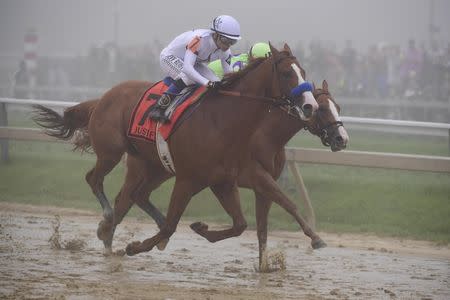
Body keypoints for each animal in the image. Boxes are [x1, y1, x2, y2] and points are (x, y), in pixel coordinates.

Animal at [35, 43, 324, 256]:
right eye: (287, 73)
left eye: (304, 71)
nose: (311, 106)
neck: (223, 121)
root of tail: (104, 96)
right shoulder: (188, 179)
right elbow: (171, 227)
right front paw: (135, 247)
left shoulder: (222, 181)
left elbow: (241, 225)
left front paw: (199, 227)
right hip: (111, 152)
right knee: (95, 180)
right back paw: (107, 221)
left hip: (155, 165)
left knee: (135, 195)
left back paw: (109, 231)